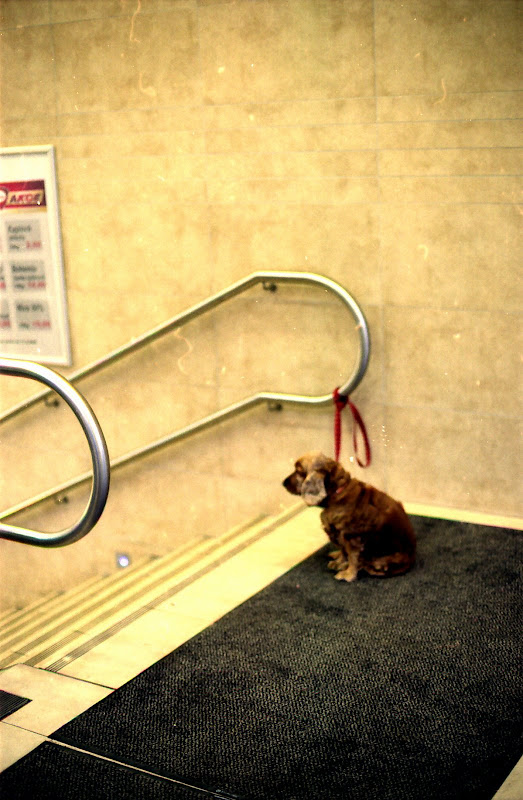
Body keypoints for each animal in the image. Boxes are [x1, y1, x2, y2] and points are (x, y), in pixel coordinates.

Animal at [284, 450, 416, 580]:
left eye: (299, 471)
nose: (283, 483)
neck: (337, 493)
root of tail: (411, 561)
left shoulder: (351, 537)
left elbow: (353, 557)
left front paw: (348, 574)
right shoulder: (338, 533)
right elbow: (343, 551)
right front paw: (339, 561)